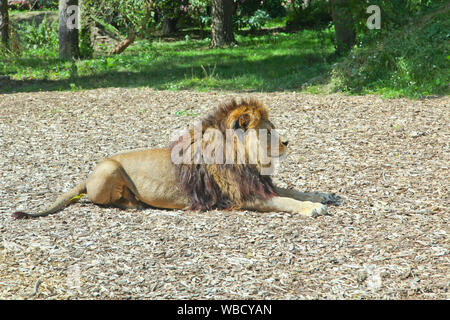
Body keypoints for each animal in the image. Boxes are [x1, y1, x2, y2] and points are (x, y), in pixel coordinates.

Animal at [11, 99, 338, 219]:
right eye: (268, 130)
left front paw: (322, 195)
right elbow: (285, 200)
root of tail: (87, 175)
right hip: (108, 169)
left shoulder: (258, 184)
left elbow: (293, 190)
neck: (243, 157)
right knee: (99, 201)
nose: (286, 142)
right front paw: (311, 208)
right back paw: (132, 203)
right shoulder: (243, 196)